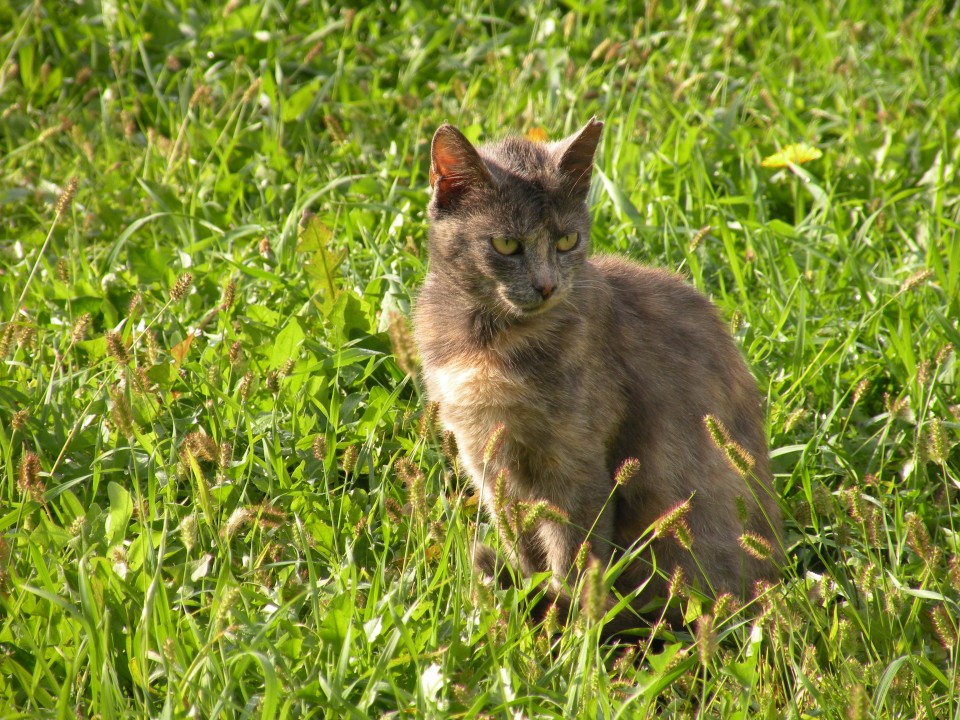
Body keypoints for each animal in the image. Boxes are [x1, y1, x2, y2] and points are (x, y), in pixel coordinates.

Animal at [412, 115, 780, 632]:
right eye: (506, 244)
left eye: (567, 240)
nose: (546, 285)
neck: (486, 341)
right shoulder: (486, 461)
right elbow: (520, 539)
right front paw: (531, 598)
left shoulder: (575, 468)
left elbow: (574, 554)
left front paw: (567, 628)